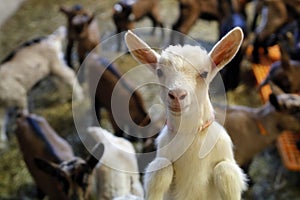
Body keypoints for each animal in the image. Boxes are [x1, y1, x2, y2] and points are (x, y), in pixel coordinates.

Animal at [125, 27, 247, 200]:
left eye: (204, 74)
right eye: (159, 72)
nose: (177, 95)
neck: (188, 133)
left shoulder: (226, 162)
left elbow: (226, 173)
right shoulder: (161, 160)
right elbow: (160, 171)